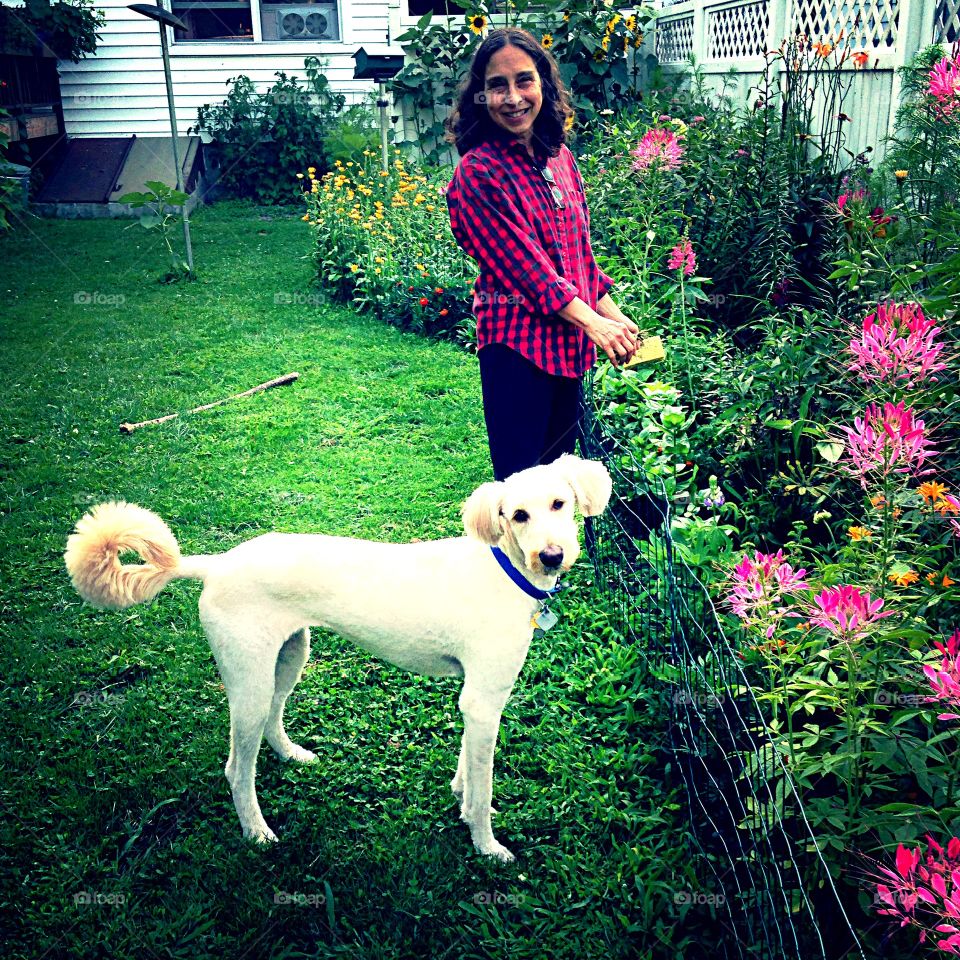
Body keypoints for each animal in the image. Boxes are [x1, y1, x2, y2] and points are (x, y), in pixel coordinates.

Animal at [65, 454, 608, 860]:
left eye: (559, 504)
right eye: (518, 516)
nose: (552, 557)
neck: (504, 568)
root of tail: (216, 565)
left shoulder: (475, 703)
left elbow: (467, 772)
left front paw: (460, 795)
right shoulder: (484, 701)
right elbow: (484, 788)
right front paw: (486, 845)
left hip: (289, 656)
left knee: (272, 722)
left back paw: (292, 756)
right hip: (249, 683)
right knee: (238, 770)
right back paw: (256, 833)